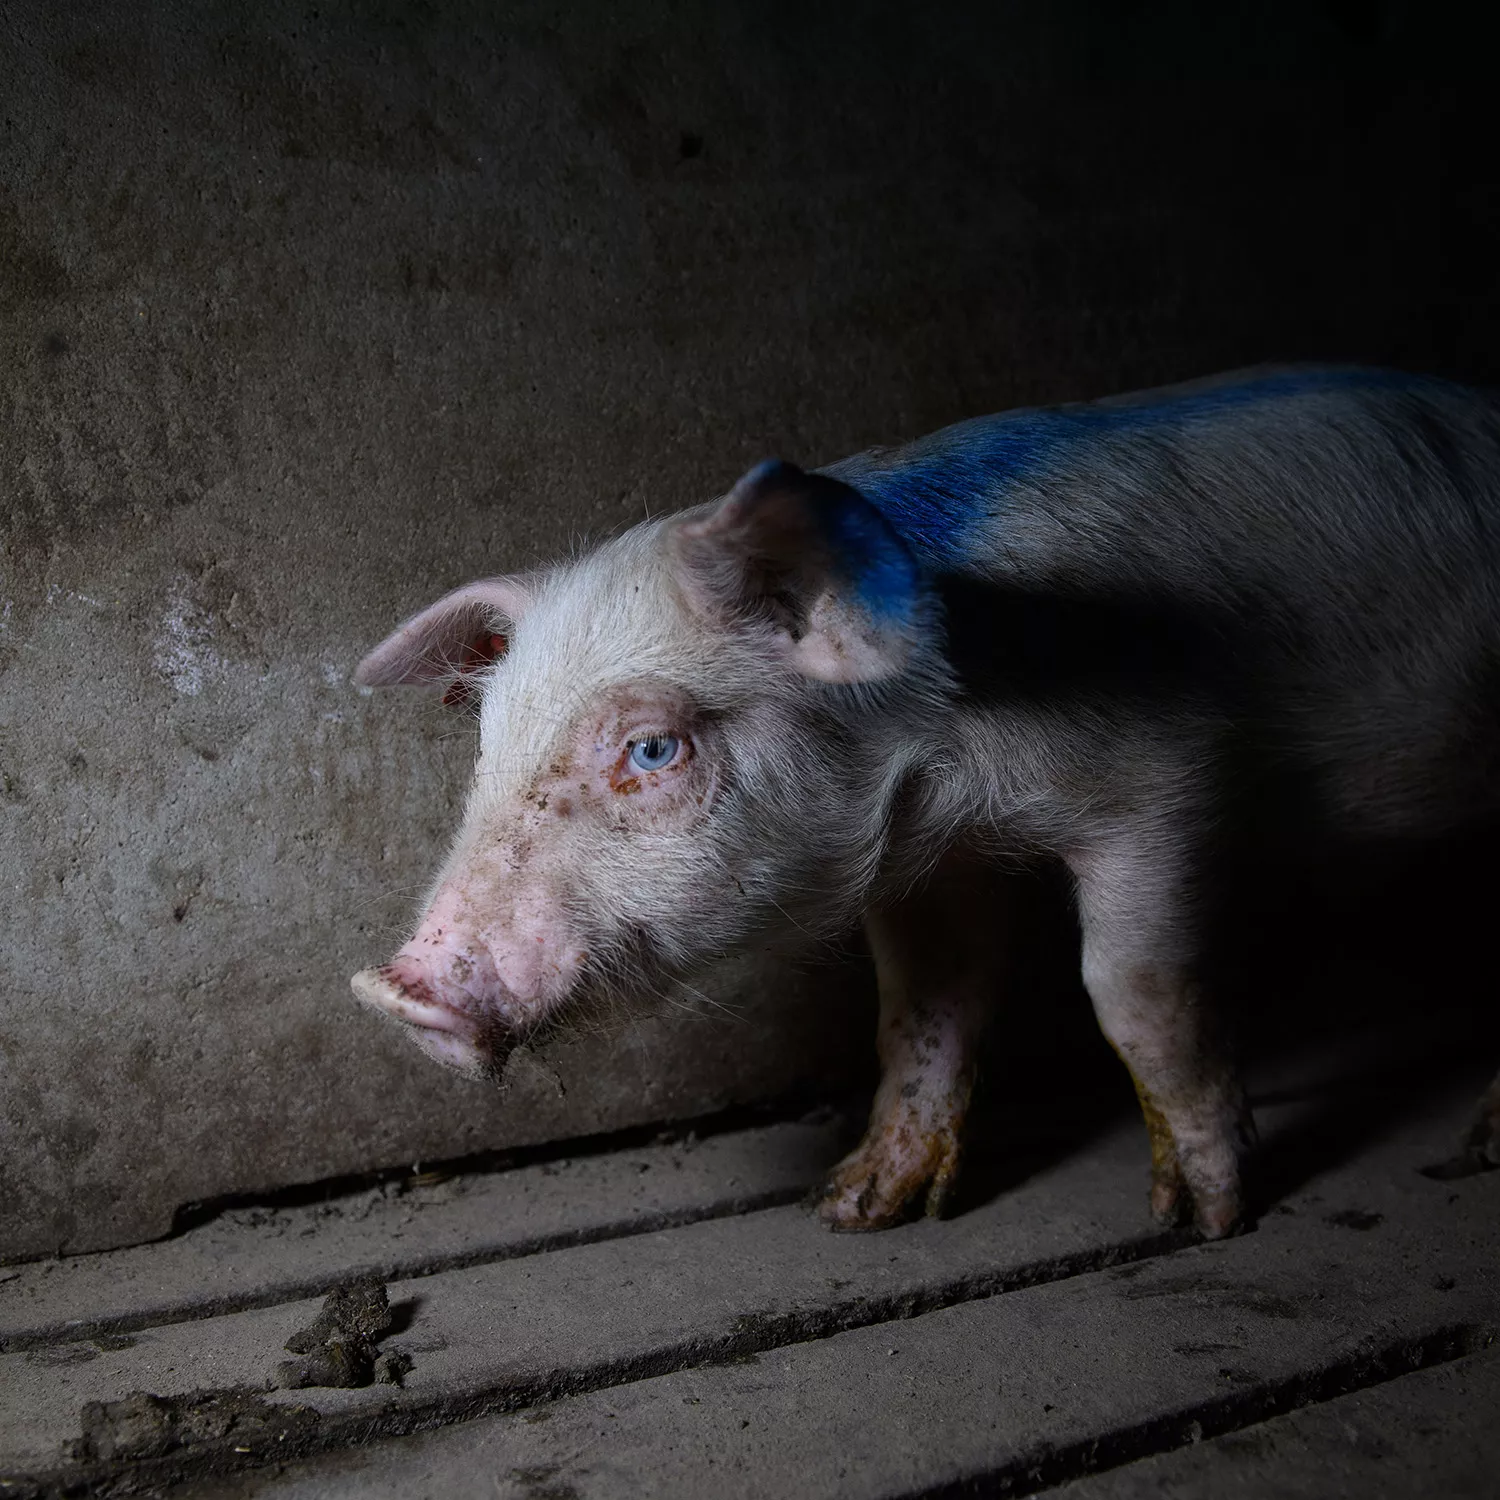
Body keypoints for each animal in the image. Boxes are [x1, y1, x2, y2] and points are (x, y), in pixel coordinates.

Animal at [348, 369, 1500, 1236]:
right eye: (488, 739)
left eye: (653, 747)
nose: (400, 993)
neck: (966, 772)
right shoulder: (933, 860)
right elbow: (923, 1006)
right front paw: (855, 1208)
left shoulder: (1166, 791)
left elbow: (1135, 991)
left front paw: (1203, 1220)